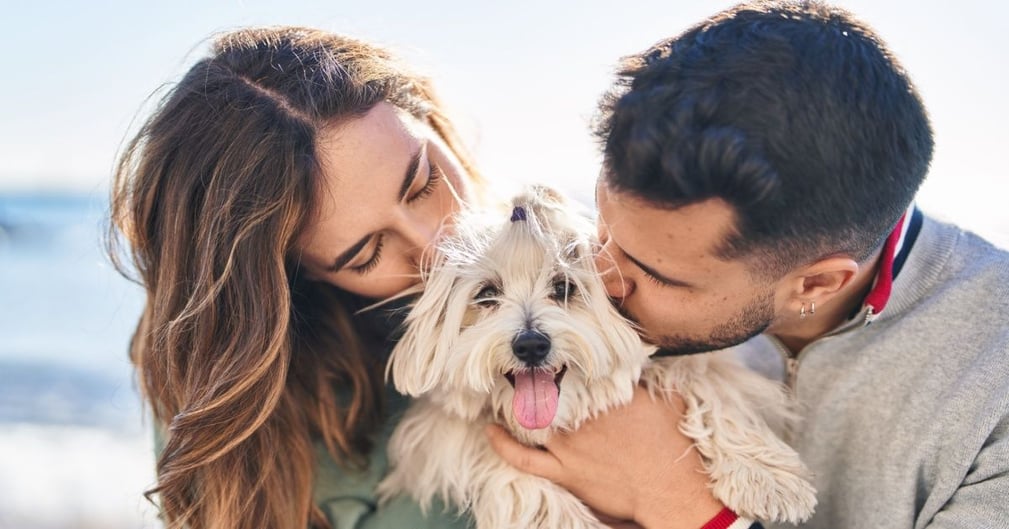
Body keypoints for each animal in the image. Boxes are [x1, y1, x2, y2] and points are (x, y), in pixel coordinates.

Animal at [375, 186, 815, 529]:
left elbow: (716, 389)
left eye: (564, 287)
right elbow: (497, 464)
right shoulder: (438, 434)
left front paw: (764, 477)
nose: (530, 345)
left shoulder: (692, 356)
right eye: (486, 294)